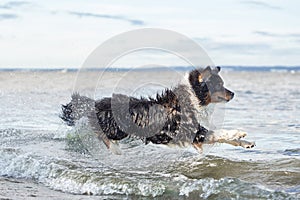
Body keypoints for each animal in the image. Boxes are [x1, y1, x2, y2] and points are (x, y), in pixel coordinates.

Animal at [61, 66, 255, 154]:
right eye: (219, 85)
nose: (233, 93)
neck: (191, 96)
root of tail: (96, 103)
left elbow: (223, 138)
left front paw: (246, 143)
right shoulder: (193, 132)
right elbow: (222, 133)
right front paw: (239, 132)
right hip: (114, 131)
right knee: (102, 136)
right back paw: (115, 149)